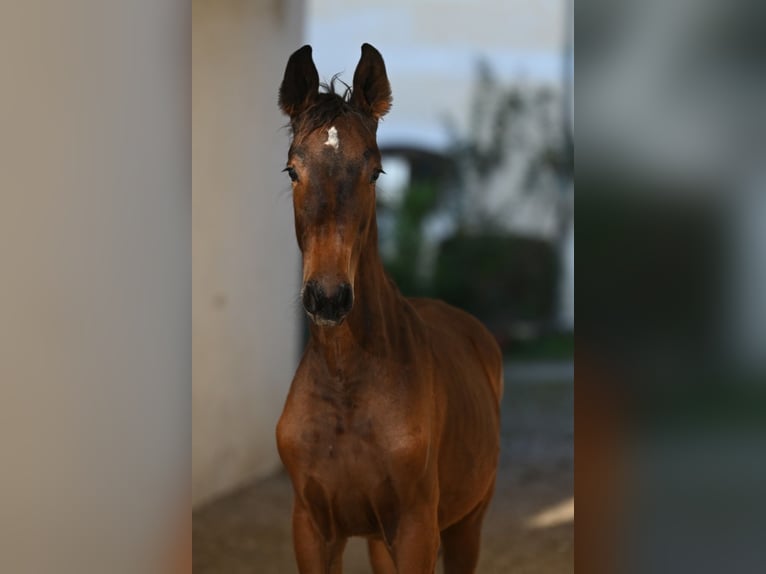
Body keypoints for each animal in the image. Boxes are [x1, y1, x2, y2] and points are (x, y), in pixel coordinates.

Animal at [276, 42, 504, 572]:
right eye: (293, 170)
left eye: (375, 171)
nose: (328, 297)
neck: (346, 387)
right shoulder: (312, 529)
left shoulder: (417, 531)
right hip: (379, 540)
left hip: (467, 522)